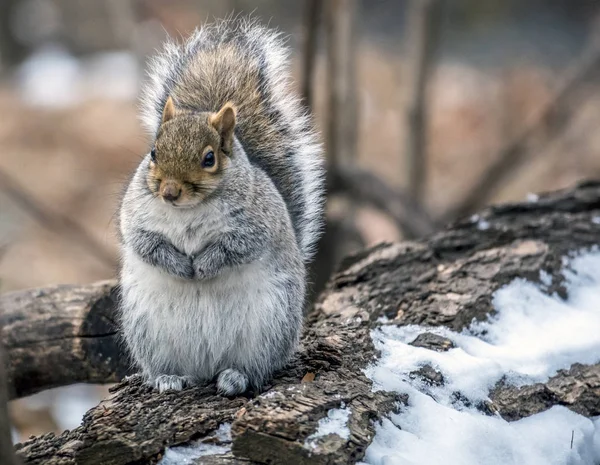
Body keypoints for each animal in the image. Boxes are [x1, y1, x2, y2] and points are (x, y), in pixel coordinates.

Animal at [118, 18, 324, 396]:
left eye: (209, 158)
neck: (189, 210)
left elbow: (236, 247)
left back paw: (235, 378)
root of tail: (206, 365)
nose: (169, 192)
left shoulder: (257, 224)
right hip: (149, 333)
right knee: (167, 366)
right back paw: (168, 378)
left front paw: (202, 266)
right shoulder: (135, 218)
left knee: (257, 367)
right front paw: (180, 265)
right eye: (153, 152)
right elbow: (146, 244)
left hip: (269, 326)